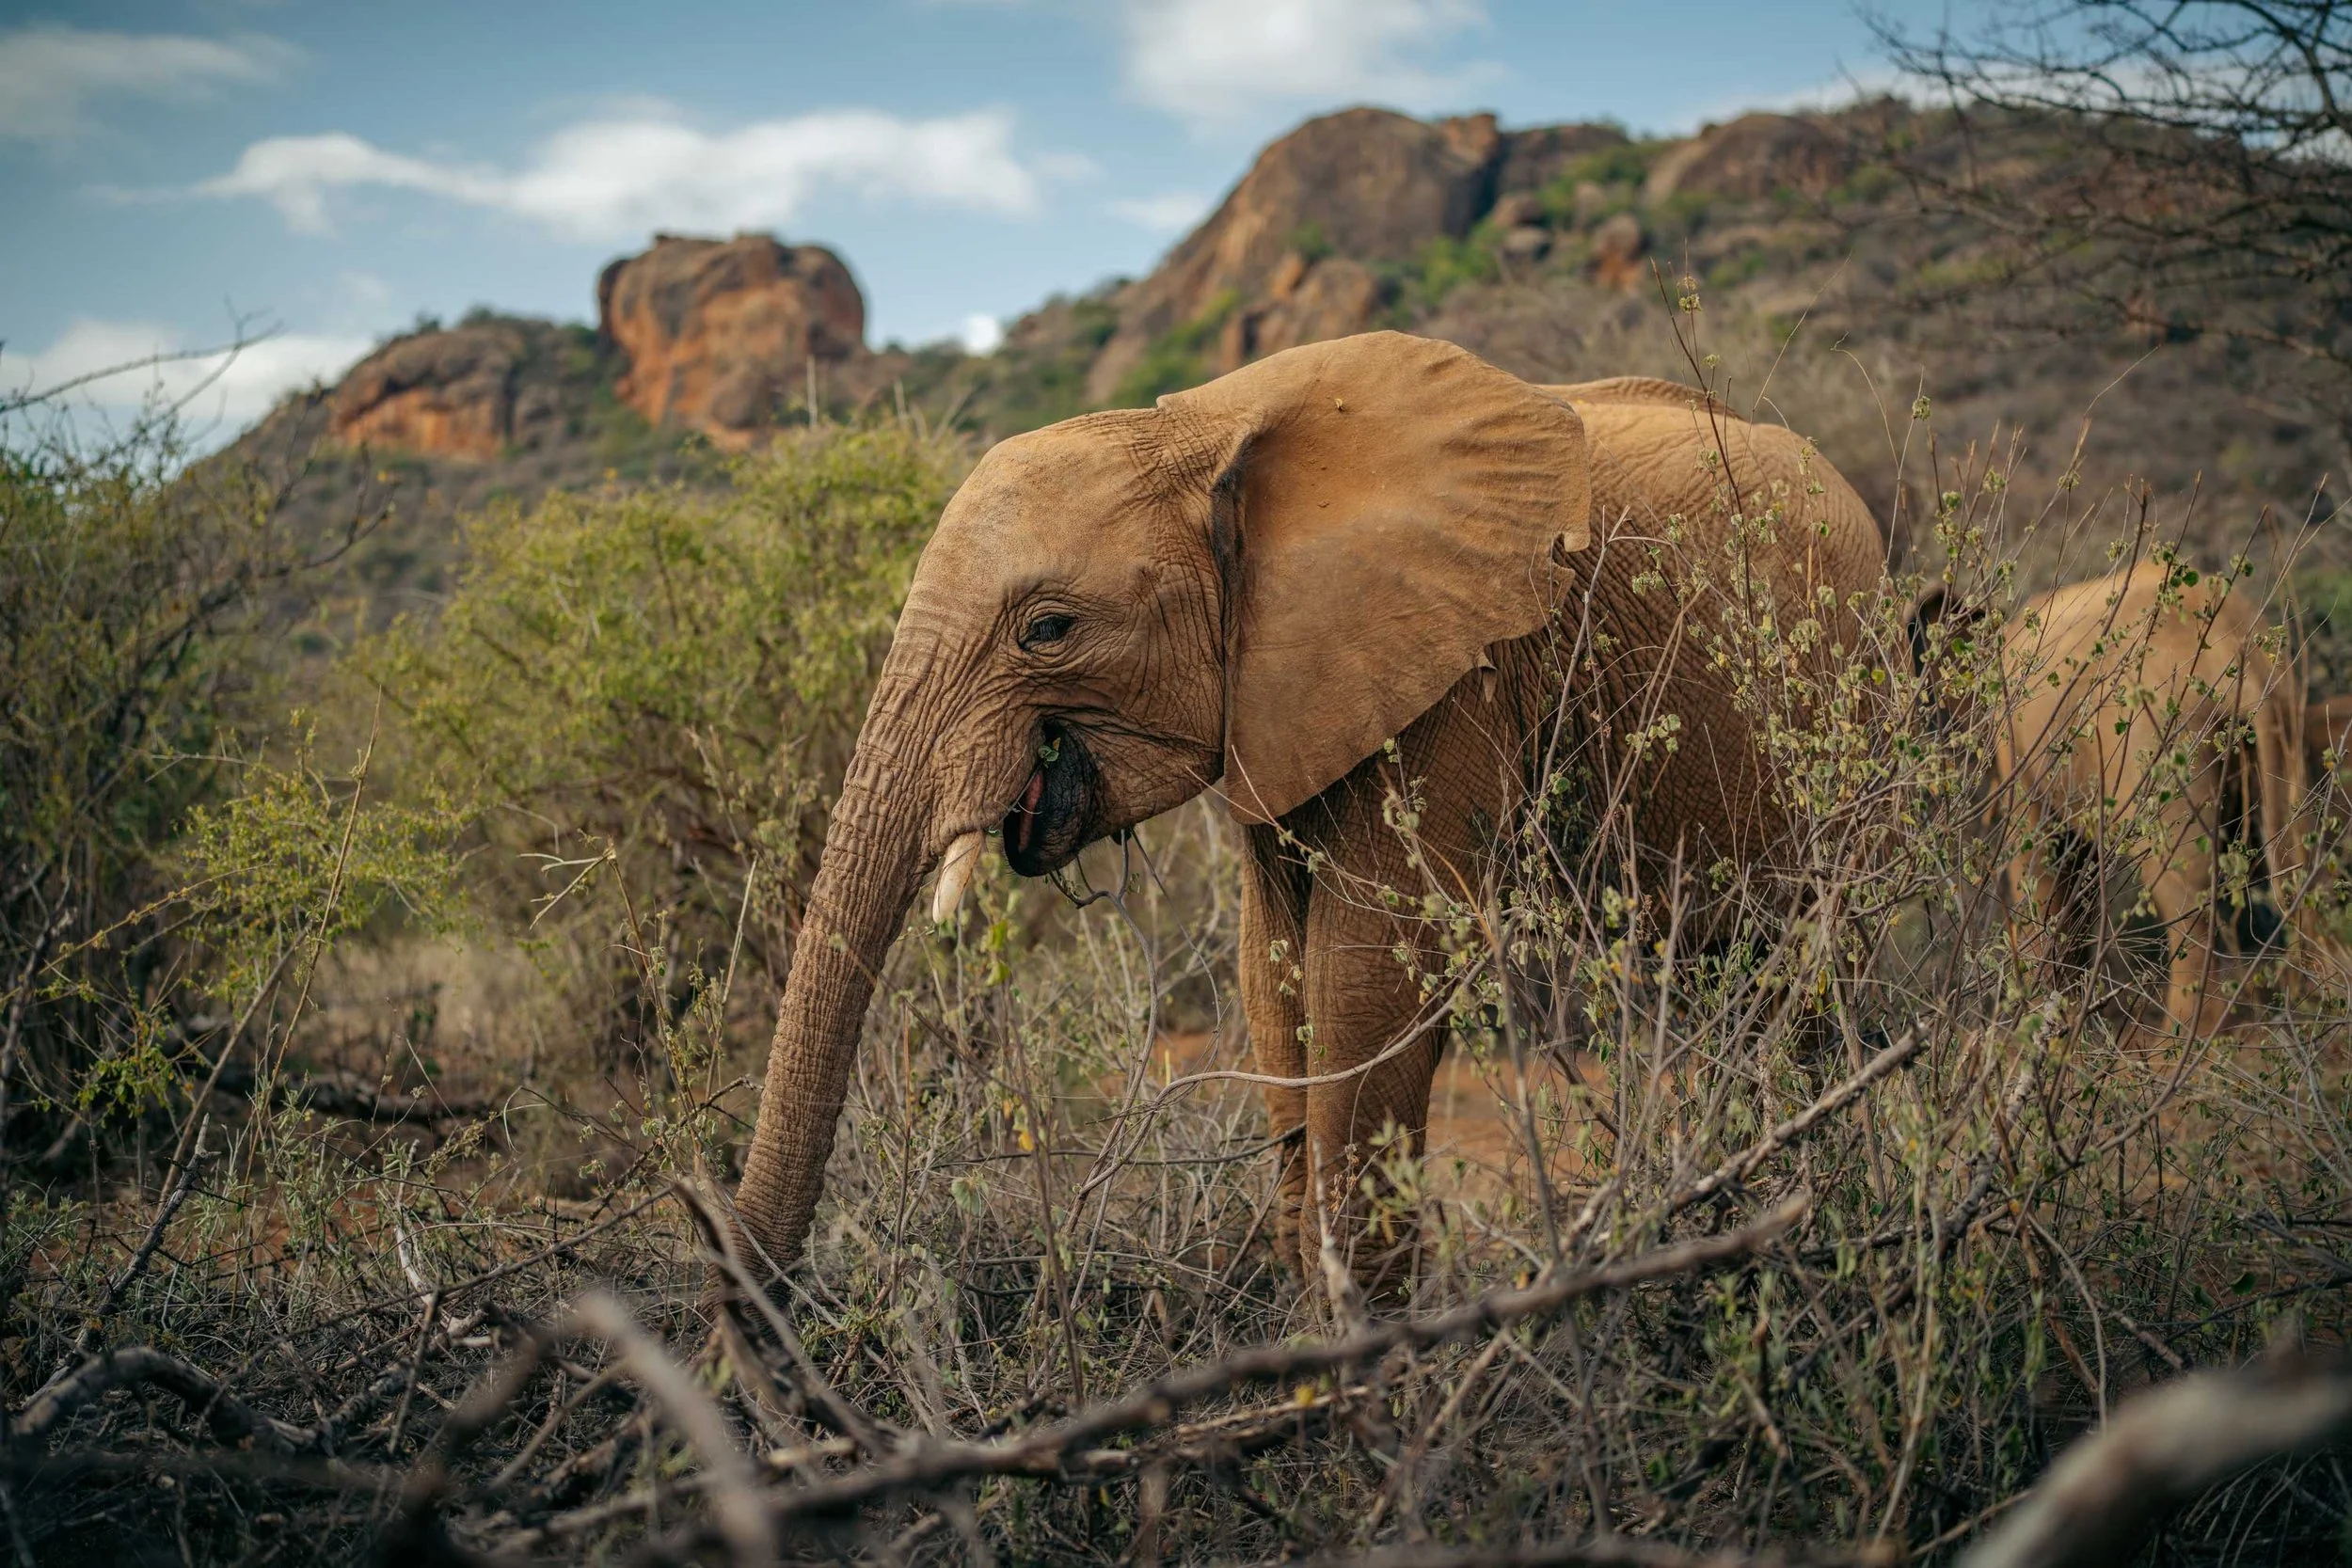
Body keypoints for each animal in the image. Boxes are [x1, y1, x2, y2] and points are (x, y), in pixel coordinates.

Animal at [730, 331, 1887, 1284]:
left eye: (1048, 629)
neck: (1201, 432)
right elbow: (1272, 959)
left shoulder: (1451, 664)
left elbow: (1368, 967)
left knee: (1814, 968)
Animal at [1975, 561, 2312, 1030]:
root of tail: (2234, 643)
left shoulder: (2020, 749)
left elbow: (2038, 861)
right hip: (2283, 716)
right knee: (2298, 860)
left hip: (2161, 737)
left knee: (2184, 891)